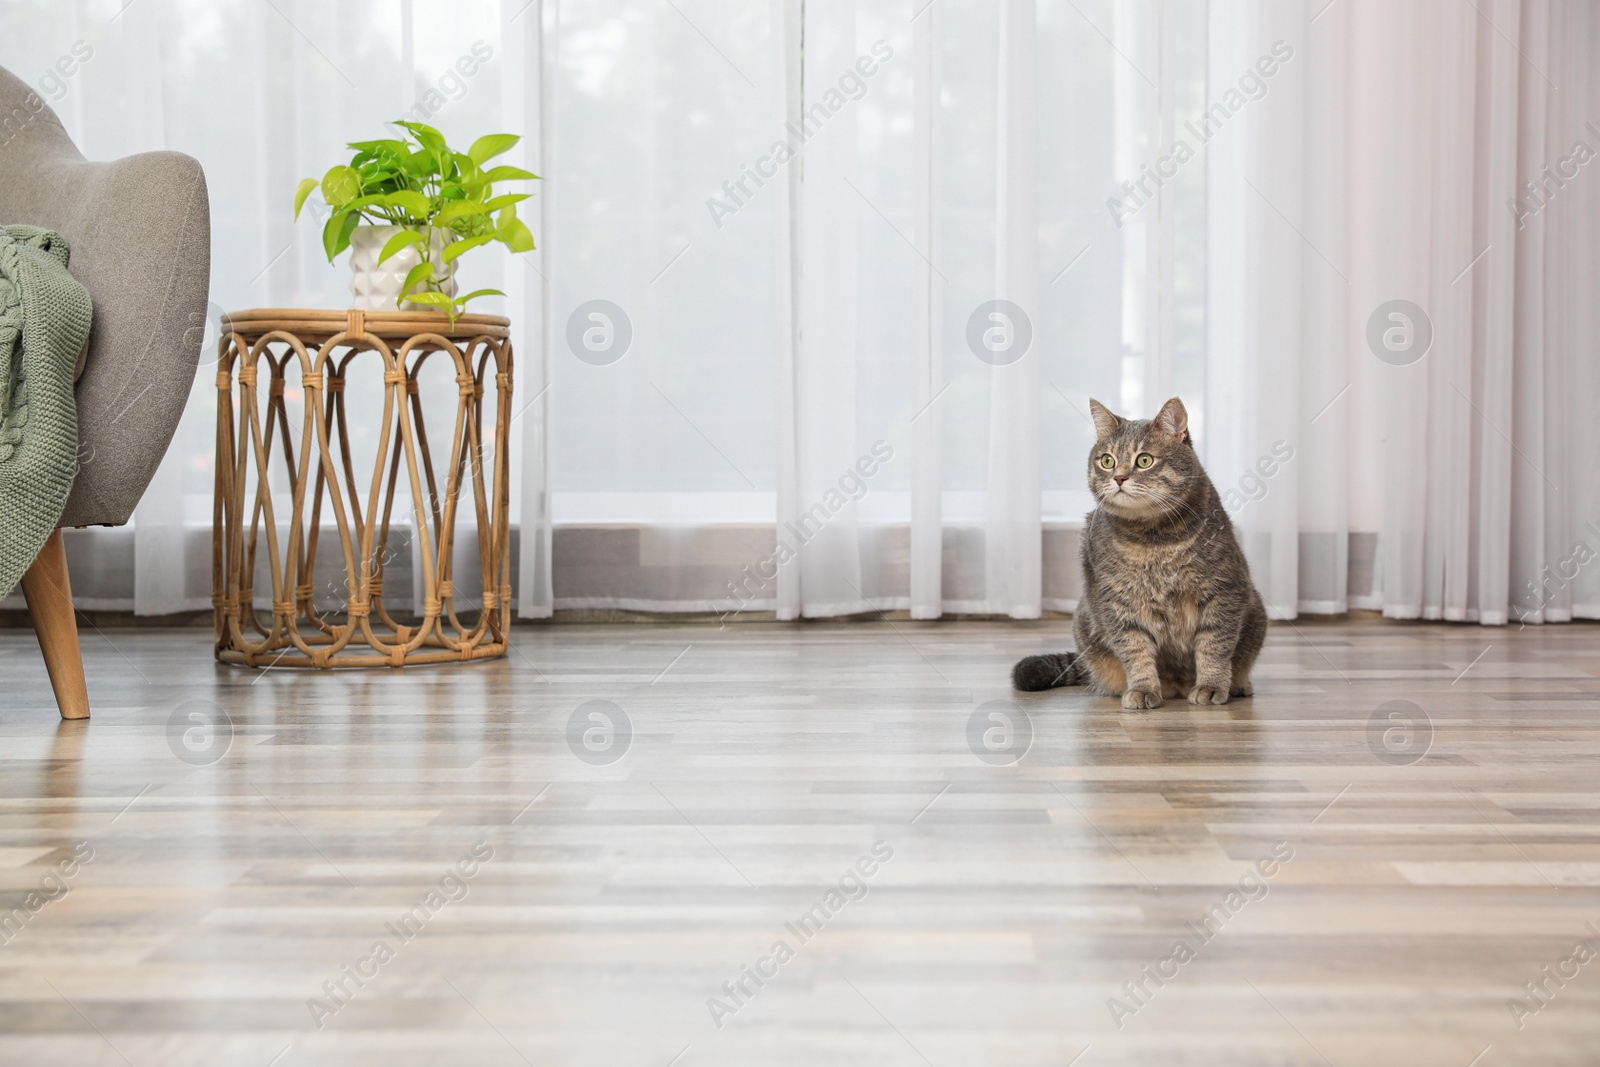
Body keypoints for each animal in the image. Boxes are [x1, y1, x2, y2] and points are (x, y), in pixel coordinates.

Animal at [1017, 398, 1267, 710]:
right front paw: (1143, 688)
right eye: (1107, 460)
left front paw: (1211, 685)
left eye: (1144, 460)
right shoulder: (1118, 603)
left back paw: (1238, 685)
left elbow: (1215, 645)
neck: (1152, 540)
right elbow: (1135, 650)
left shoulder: (1222, 591)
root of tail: (1177, 687)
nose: (1119, 477)